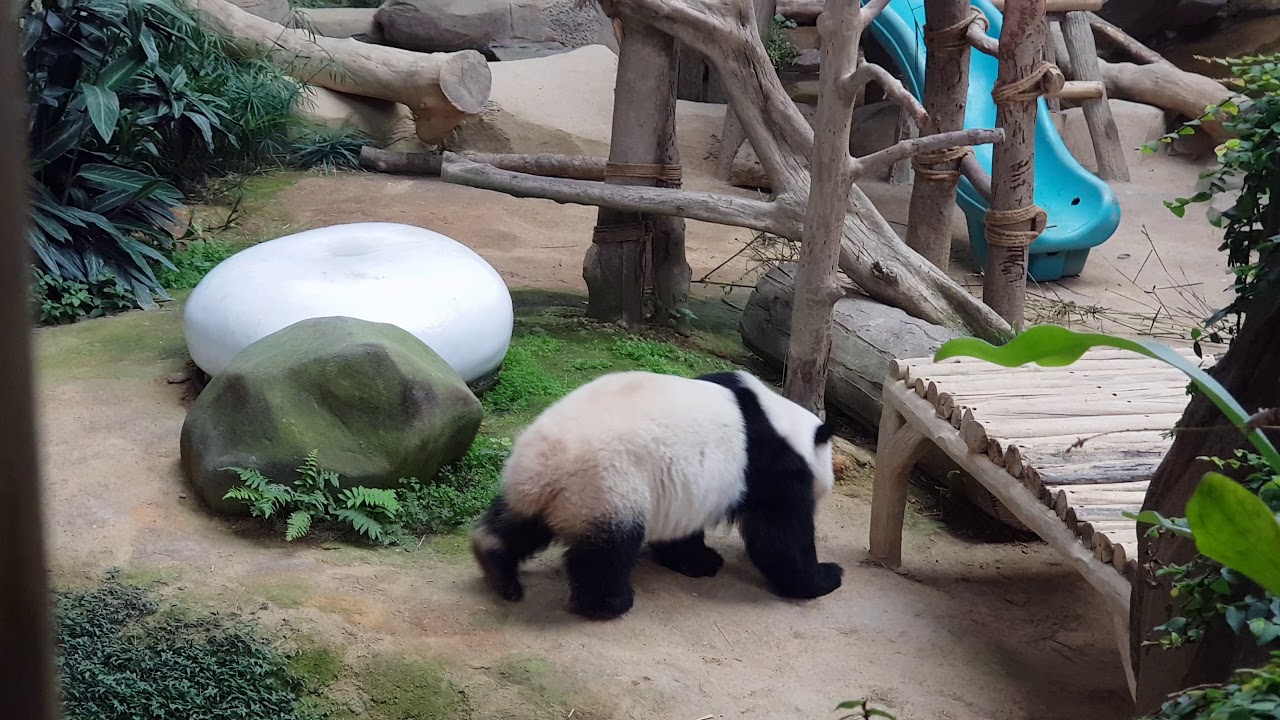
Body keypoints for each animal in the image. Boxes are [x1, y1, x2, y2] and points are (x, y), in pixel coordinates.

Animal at [469, 369, 843, 620]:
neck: (781, 421)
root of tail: (549, 461)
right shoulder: (770, 465)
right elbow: (779, 536)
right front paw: (827, 576)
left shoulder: (688, 490)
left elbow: (681, 533)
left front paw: (699, 560)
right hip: (607, 485)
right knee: (606, 552)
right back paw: (609, 603)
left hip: (534, 487)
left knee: (518, 524)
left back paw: (496, 564)